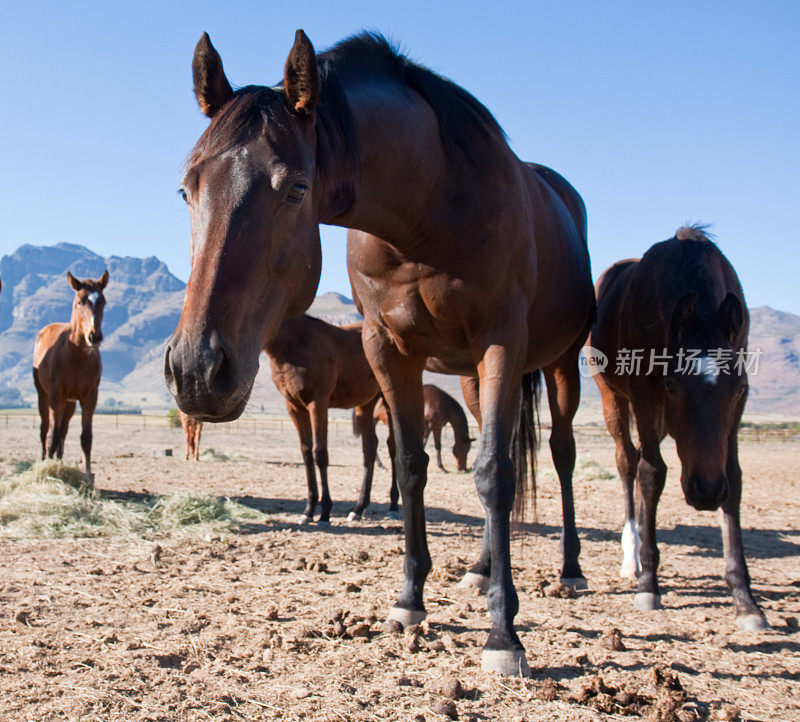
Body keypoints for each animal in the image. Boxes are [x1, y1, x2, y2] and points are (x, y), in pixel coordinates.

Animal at [32, 270, 108, 472]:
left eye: (103, 302)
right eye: (80, 301)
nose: (94, 336)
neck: (76, 356)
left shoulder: (89, 397)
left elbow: (86, 438)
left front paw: (88, 473)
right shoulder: (55, 396)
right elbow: (53, 436)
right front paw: (50, 468)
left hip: (69, 403)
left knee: (63, 431)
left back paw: (59, 459)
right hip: (44, 396)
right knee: (46, 429)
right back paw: (45, 459)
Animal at [264, 316, 398, 524]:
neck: (294, 341)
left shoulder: (318, 402)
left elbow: (319, 452)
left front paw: (325, 512)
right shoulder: (294, 407)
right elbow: (306, 454)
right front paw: (308, 510)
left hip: (387, 399)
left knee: (392, 446)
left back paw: (393, 505)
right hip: (365, 404)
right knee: (370, 447)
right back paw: (359, 508)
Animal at [588, 226, 768, 632]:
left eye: (738, 390)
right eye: (672, 384)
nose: (706, 490)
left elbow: (735, 479)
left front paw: (745, 600)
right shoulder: (645, 392)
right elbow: (651, 474)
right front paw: (648, 586)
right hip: (613, 398)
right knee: (629, 464)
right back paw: (633, 558)